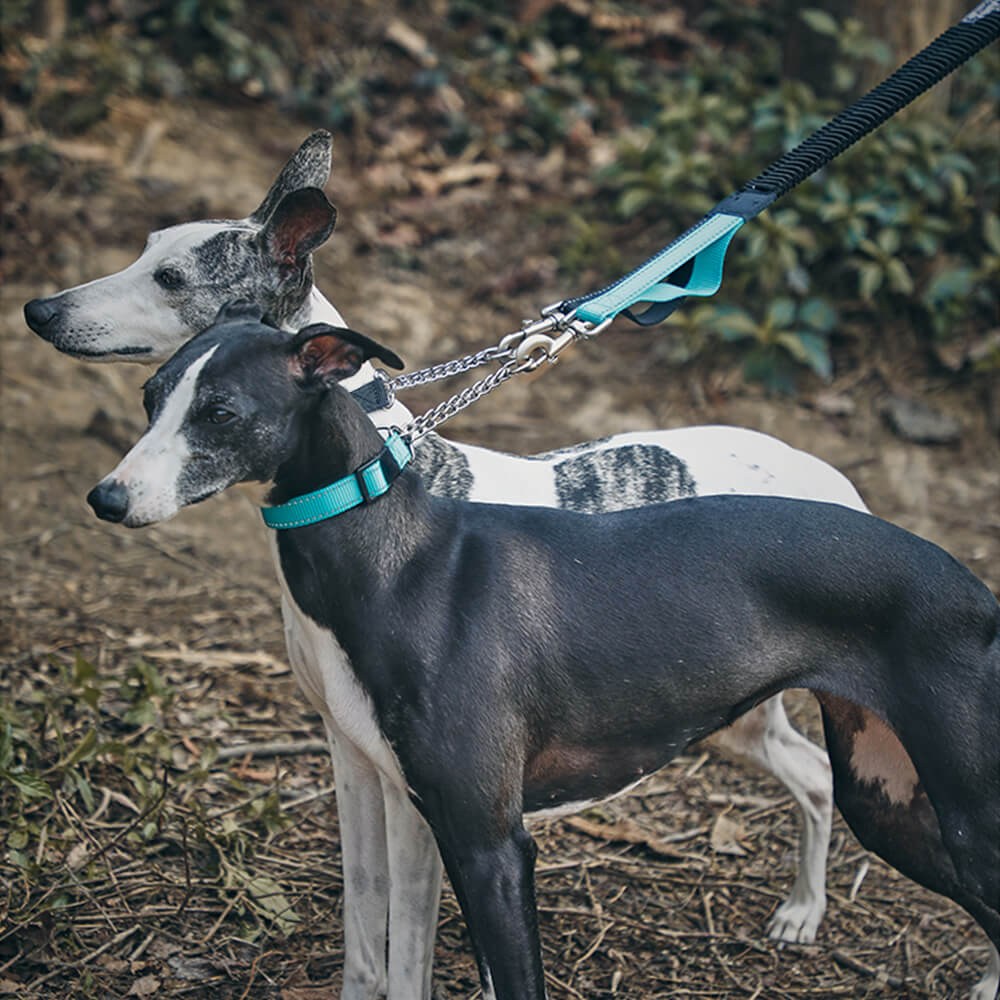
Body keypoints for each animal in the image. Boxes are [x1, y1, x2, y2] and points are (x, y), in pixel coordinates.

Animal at [27, 135, 880, 1000]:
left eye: (170, 277)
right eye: (143, 249)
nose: (39, 310)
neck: (381, 469)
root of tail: (834, 481)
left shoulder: (429, 810)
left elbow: (410, 950)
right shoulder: (355, 762)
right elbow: (364, 930)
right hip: (729, 711)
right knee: (813, 772)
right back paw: (803, 908)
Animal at [88, 304, 1000, 1000]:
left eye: (220, 412)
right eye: (150, 397)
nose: (106, 498)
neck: (392, 550)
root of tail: (975, 588)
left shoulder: (491, 845)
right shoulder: (402, 803)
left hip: (958, 812)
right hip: (889, 802)